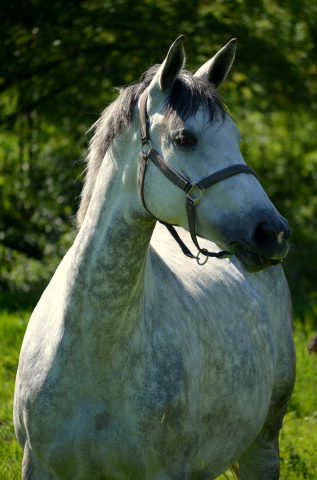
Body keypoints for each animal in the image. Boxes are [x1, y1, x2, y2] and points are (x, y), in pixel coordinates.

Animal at [14, 37, 296, 480]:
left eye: (235, 136)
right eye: (184, 139)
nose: (273, 232)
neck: (94, 349)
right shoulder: (38, 464)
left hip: (263, 445)